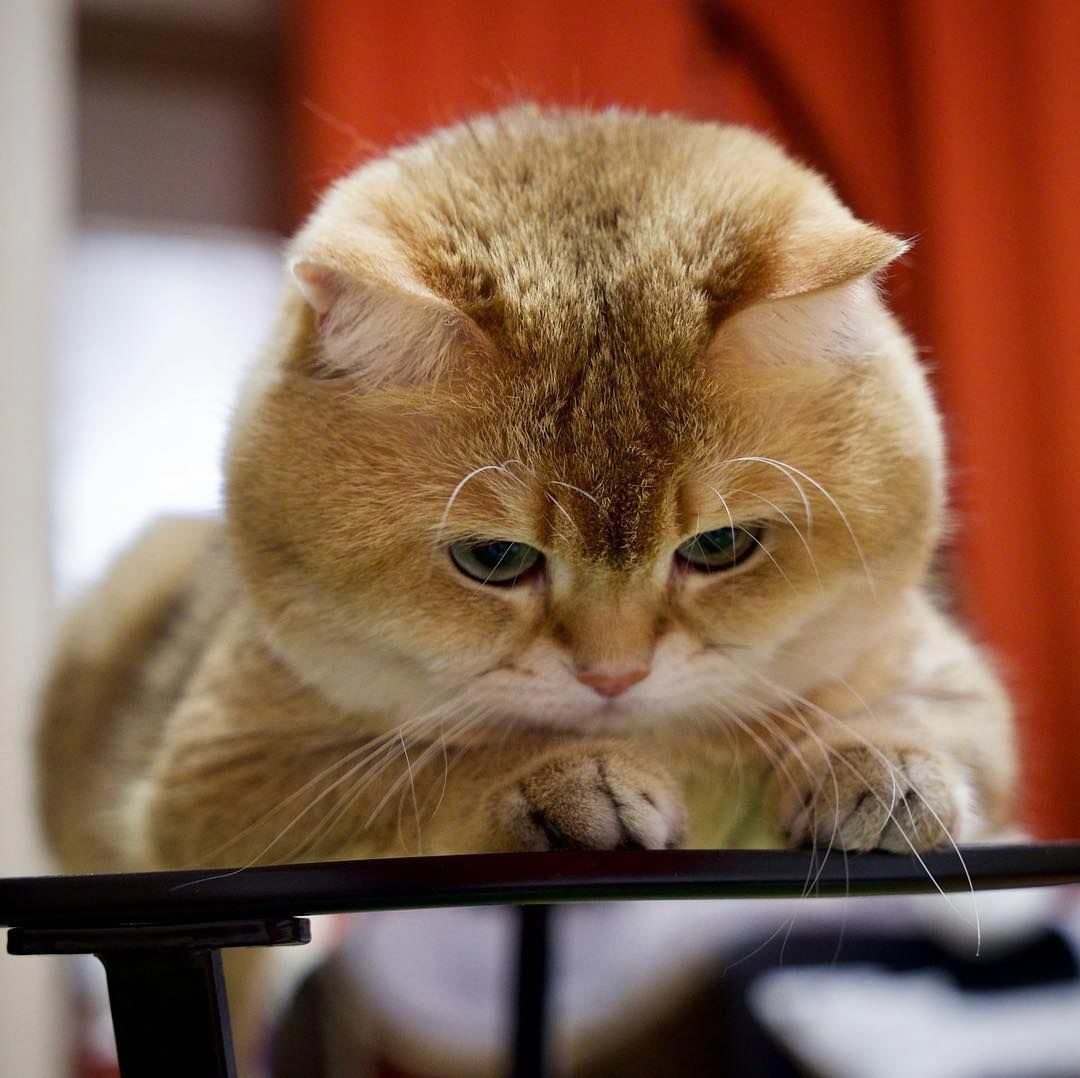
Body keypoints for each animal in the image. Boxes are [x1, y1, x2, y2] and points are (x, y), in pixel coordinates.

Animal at [35, 107, 1010, 894]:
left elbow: (929, 724)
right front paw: (569, 781)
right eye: (494, 559)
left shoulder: (951, 685)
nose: (615, 678)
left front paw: (878, 764)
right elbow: (443, 766)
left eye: (720, 547)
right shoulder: (214, 782)